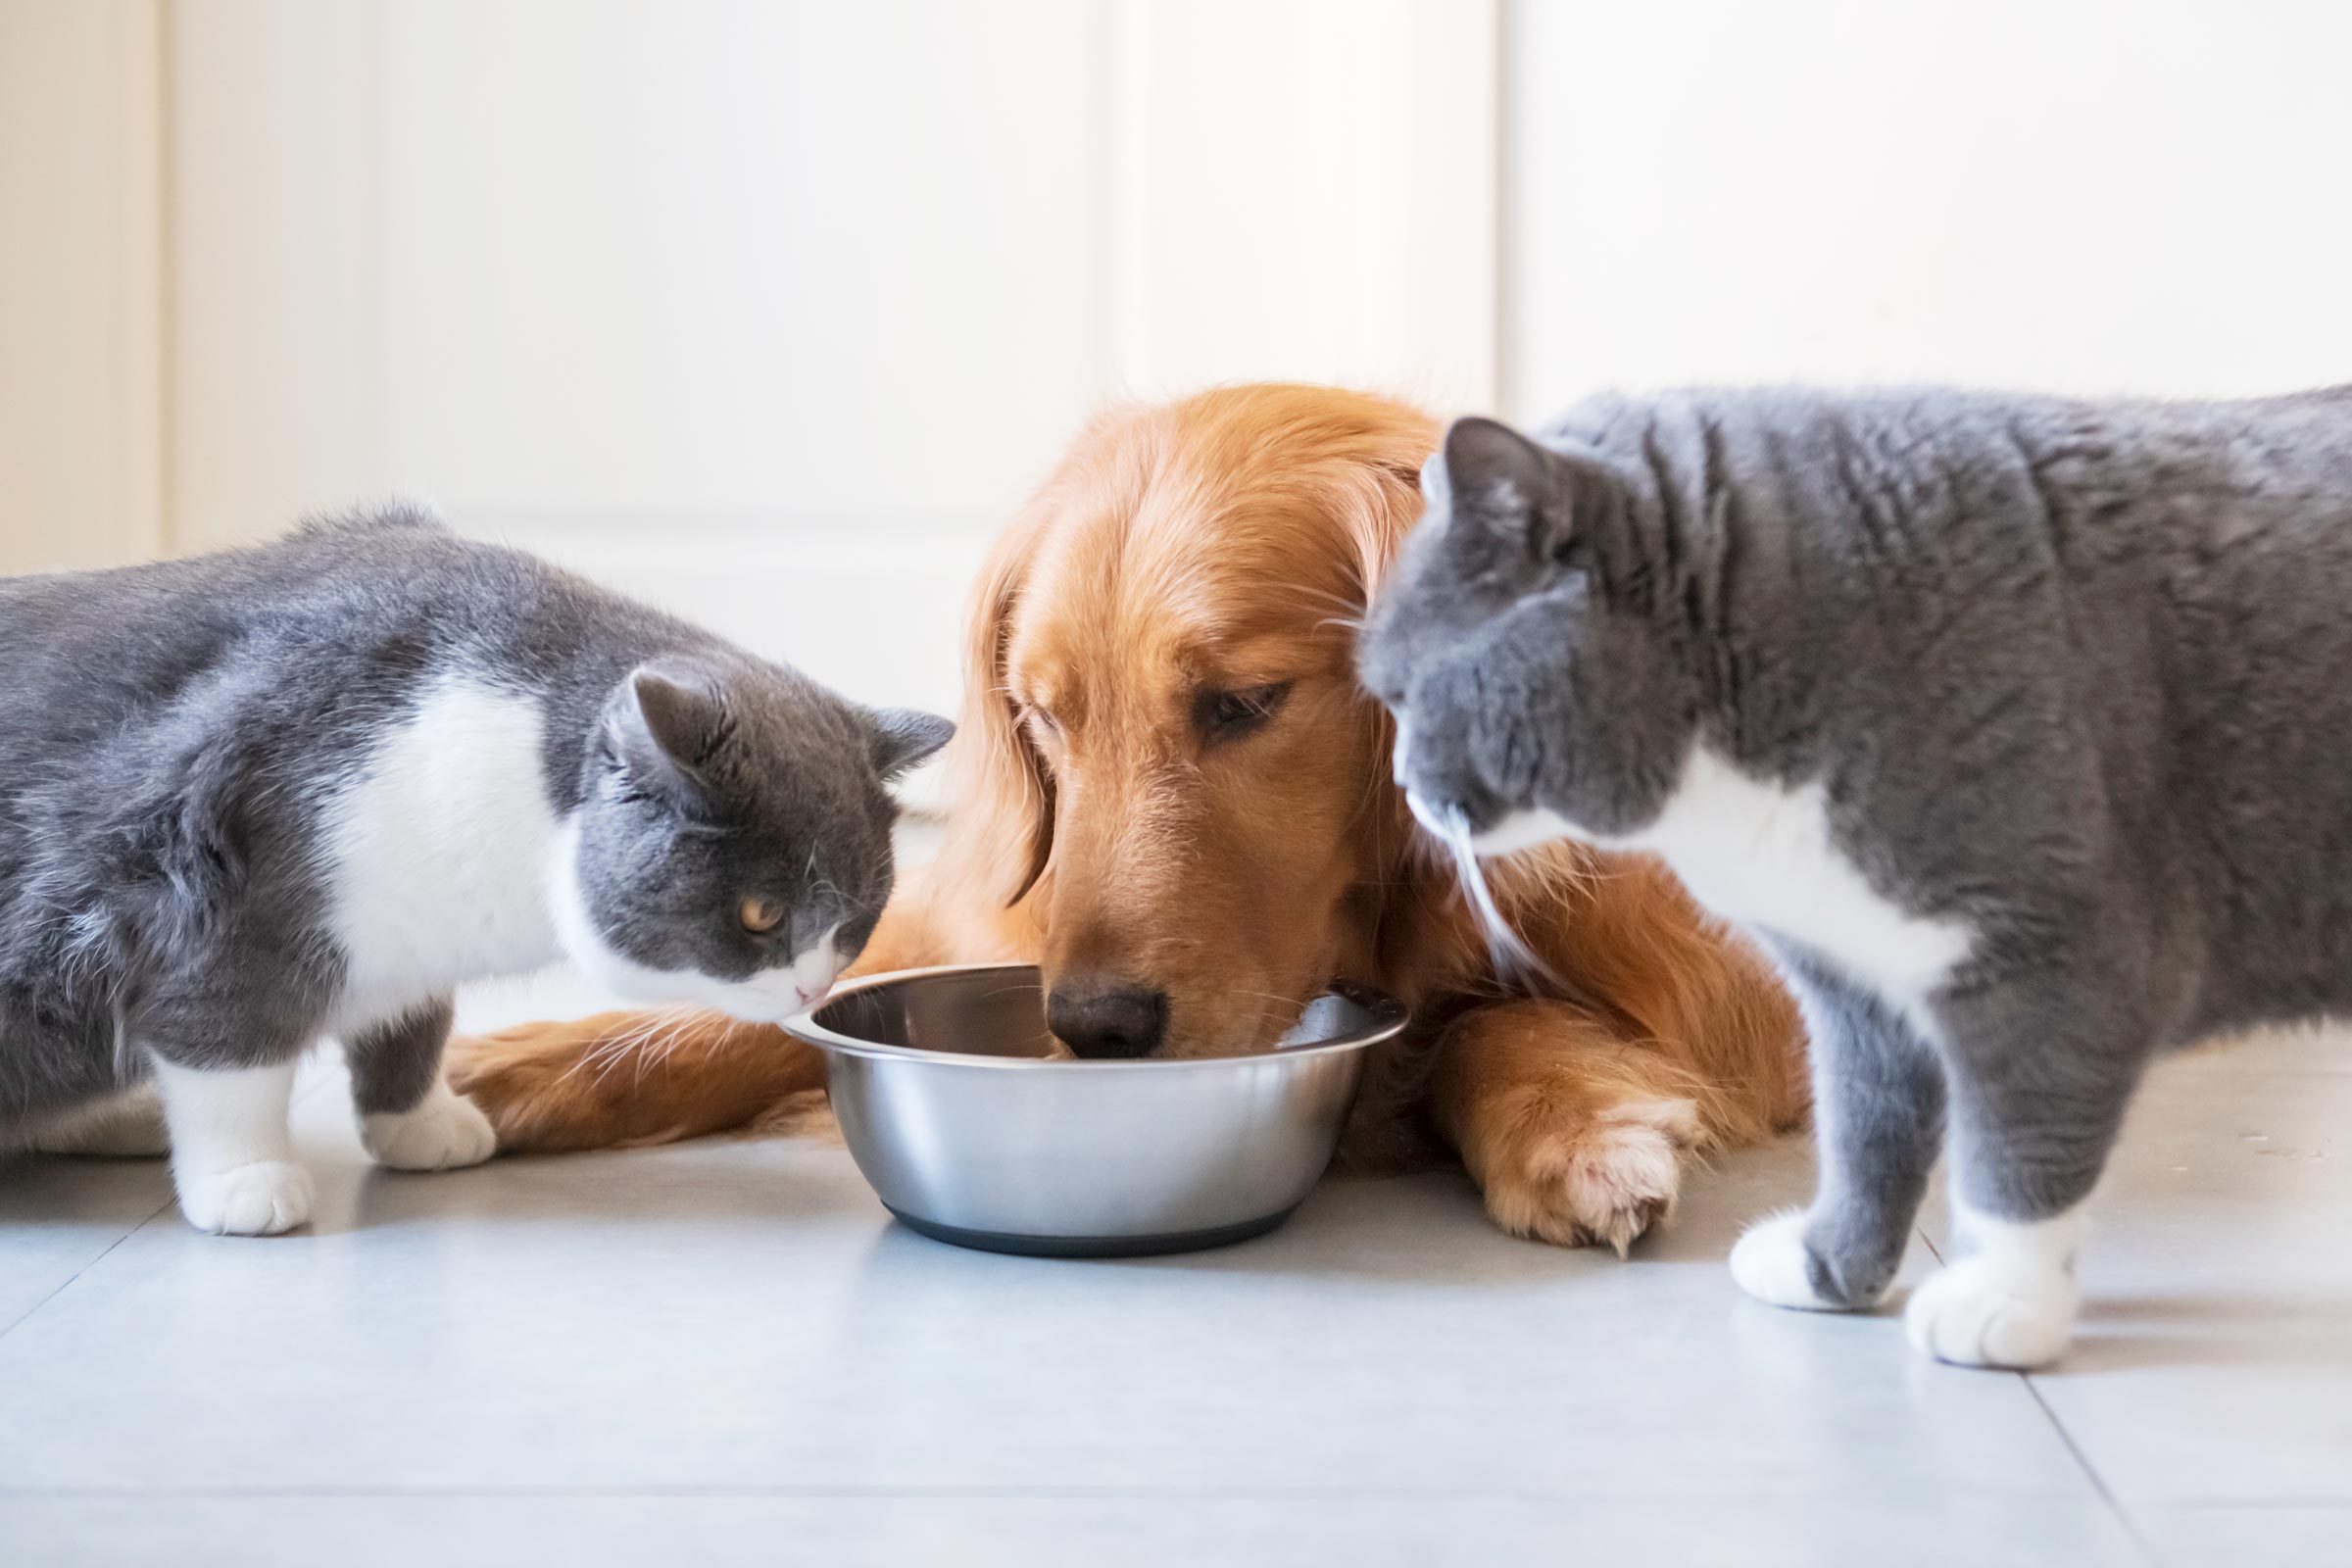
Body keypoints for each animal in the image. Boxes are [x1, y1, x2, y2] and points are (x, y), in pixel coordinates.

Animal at [4, 514, 955, 1241]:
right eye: (761, 913)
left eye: (860, 916)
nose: (809, 991)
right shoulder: (225, 888)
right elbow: (228, 1051)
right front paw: (247, 1183)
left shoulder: (408, 940)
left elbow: (412, 1024)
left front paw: (421, 1124)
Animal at [463, 383, 1815, 1250]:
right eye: (1041, 714)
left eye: (1244, 703)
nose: (1093, 1027)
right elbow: (750, 1016)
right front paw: (510, 1065)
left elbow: (1496, 1021)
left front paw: (1573, 1123)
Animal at [1364, 392, 2352, 1372]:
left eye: (1415, 692)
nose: (1405, 785)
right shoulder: (1853, 991)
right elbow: (1864, 1139)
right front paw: (1824, 1269)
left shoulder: (2051, 969)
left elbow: (2012, 1160)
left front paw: (2000, 1305)